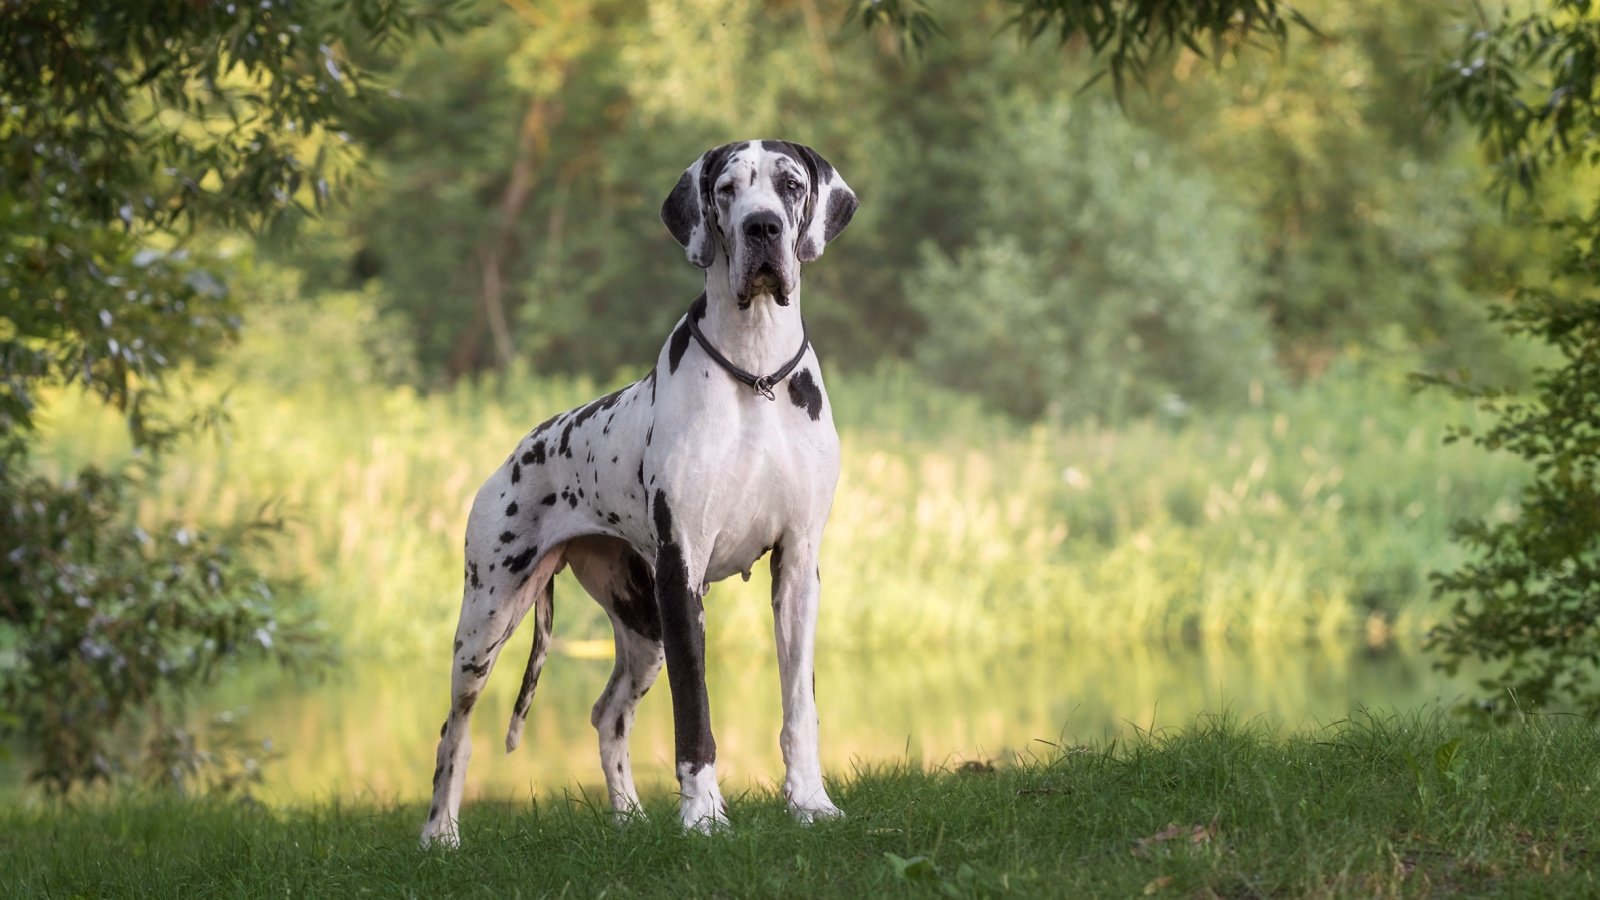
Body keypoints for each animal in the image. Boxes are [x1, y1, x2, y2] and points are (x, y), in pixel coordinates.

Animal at [419, 138, 857, 839]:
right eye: (727, 189)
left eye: (790, 185)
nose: (763, 228)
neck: (756, 371)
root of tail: (520, 447)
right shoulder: (683, 572)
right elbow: (695, 717)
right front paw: (704, 815)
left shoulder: (797, 566)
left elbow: (799, 709)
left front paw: (810, 802)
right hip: (486, 620)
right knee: (453, 729)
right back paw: (441, 834)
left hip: (641, 629)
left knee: (607, 713)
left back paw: (628, 816)